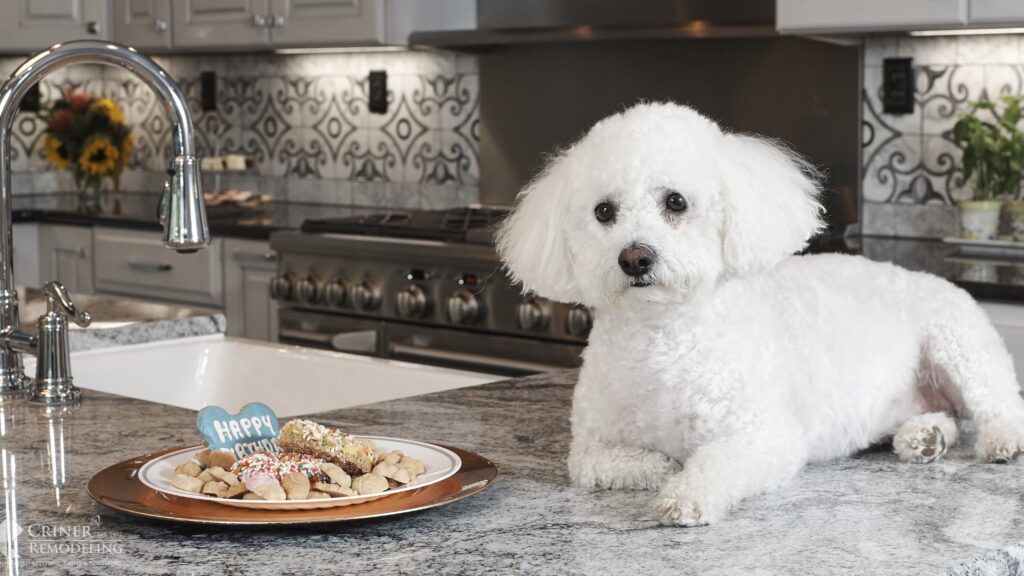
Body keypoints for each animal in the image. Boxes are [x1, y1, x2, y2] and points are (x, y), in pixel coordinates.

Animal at [493, 101, 1024, 524]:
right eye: (604, 211)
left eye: (675, 202)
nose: (635, 258)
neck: (662, 338)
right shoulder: (590, 443)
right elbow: (592, 465)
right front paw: (658, 467)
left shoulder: (764, 436)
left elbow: (714, 465)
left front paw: (685, 494)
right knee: (945, 414)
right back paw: (926, 437)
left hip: (960, 347)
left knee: (1000, 407)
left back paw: (998, 440)